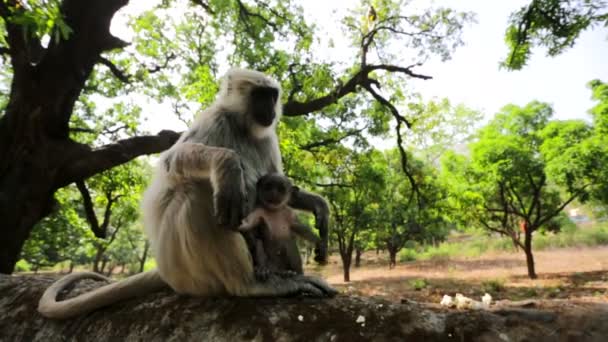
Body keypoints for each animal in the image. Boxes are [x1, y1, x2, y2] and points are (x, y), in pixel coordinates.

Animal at [39, 68, 338, 320]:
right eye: (260, 96)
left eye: (272, 96)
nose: (270, 108)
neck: (243, 127)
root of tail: (166, 269)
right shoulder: (215, 119)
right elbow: (172, 160)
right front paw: (227, 164)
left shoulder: (267, 138)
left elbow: (283, 187)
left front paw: (318, 205)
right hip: (189, 271)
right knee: (200, 190)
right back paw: (249, 285)